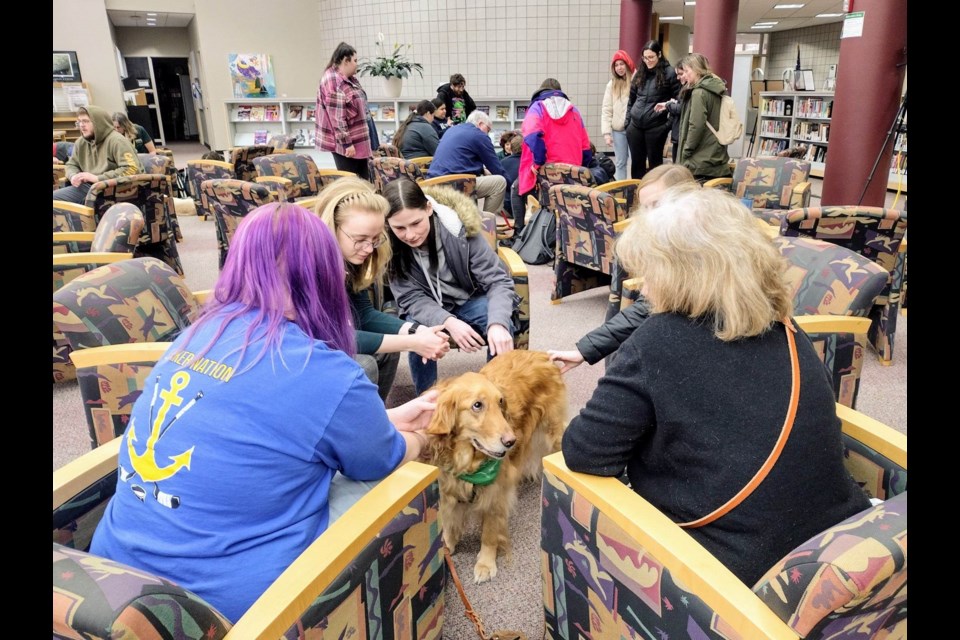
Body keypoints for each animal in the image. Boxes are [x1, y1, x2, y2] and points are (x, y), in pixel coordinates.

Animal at [420, 352, 564, 584]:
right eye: (477, 405)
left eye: (501, 402)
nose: (511, 441)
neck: (467, 463)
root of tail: (541, 354)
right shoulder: (448, 487)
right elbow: (450, 521)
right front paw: (447, 545)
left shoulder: (495, 495)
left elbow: (489, 533)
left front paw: (486, 564)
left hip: (554, 431)